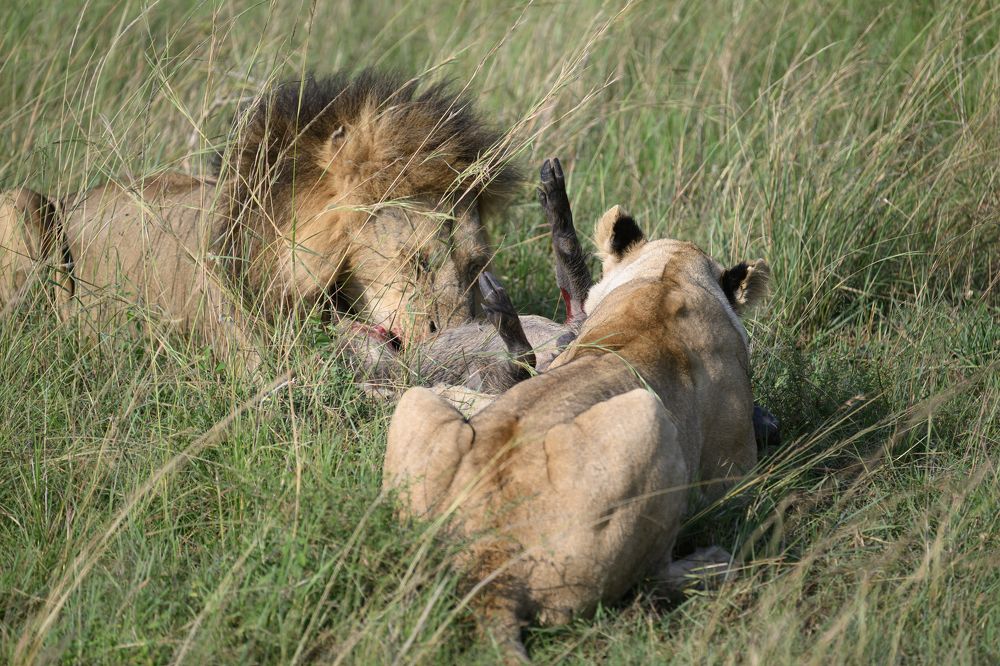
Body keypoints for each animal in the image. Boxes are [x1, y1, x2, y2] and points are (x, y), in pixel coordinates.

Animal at [383, 202, 770, 658]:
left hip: (415, 407)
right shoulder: (734, 467)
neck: (666, 280)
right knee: (653, 577)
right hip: (650, 420)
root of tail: (488, 562)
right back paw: (714, 560)